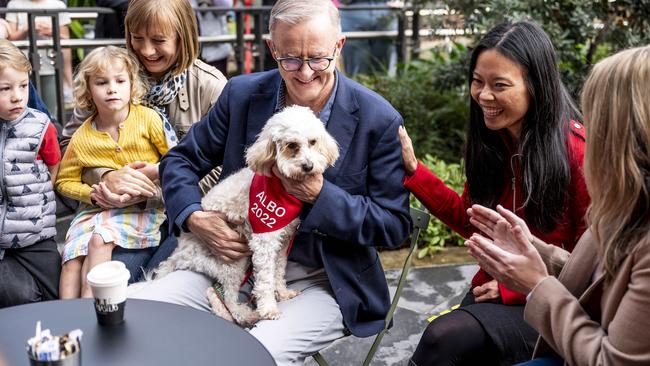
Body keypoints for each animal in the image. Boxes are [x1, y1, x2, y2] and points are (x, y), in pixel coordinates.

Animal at [153, 106, 340, 326]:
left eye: (313, 142)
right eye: (291, 145)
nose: (309, 166)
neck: (280, 189)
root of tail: (180, 250)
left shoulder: (284, 242)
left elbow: (278, 270)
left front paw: (282, 292)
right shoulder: (264, 241)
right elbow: (265, 279)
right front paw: (269, 308)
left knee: (215, 292)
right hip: (233, 261)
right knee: (227, 297)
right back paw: (247, 315)